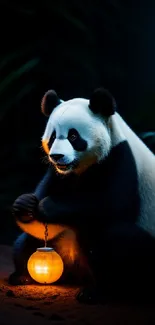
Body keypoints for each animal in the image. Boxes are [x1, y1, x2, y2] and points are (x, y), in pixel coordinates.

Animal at [9, 88, 155, 304]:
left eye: (73, 136)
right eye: (53, 136)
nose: (57, 156)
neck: (80, 168)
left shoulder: (121, 160)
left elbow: (111, 205)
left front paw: (47, 207)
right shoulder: (59, 175)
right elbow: (41, 217)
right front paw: (25, 204)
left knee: (116, 240)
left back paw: (99, 292)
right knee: (26, 242)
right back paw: (21, 275)